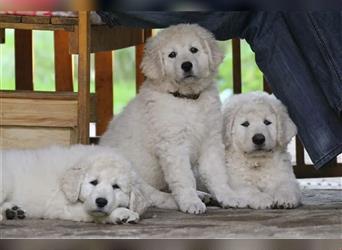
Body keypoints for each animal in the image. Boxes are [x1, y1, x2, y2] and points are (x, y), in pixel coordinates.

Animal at [2, 146, 179, 224]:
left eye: (116, 186)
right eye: (93, 182)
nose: (101, 201)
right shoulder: (59, 206)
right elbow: (97, 214)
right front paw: (123, 213)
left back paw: (12, 211)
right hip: (6, 181)